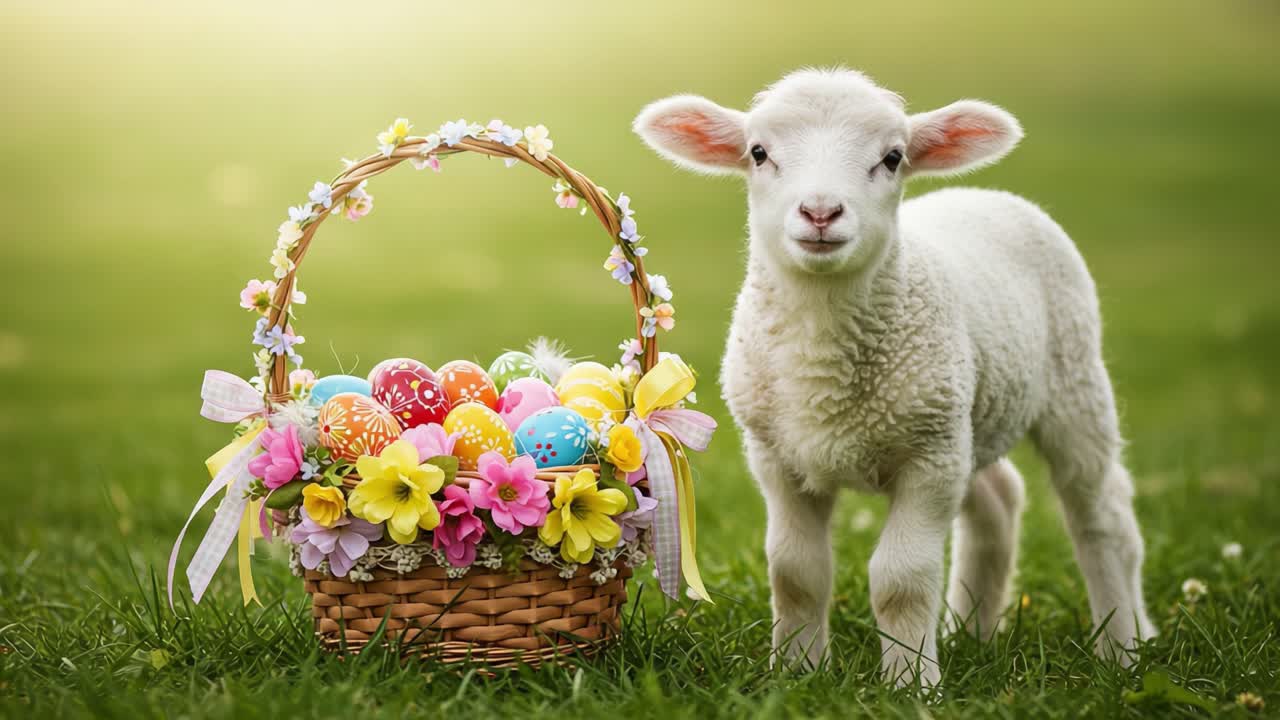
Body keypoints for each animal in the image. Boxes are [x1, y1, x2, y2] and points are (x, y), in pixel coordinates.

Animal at [633, 68, 1156, 687]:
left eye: (892, 157)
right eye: (758, 153)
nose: (820, 212)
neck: (822, 361)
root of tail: (982, 193)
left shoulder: (929, 461)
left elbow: (901, 579)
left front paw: (910, 682)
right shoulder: (778, 457)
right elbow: (796, 571)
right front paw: (798, 670)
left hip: (1070, 382)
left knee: (1102, 515)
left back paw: (1124, 646)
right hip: (967, 413)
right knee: (999, 500)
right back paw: (970, 633)